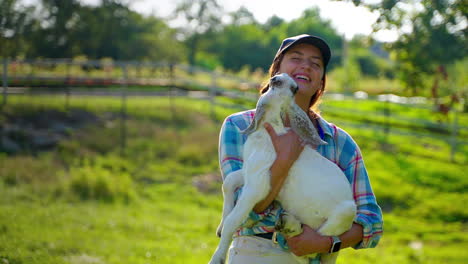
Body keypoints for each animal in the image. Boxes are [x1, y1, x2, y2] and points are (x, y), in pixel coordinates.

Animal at [210, 72, 356, 264]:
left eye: (294, 89)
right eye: (276, 84)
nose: (279, 78)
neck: (267, 132)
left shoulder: (257, 186)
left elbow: (232, 221)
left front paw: (217, 258)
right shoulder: (251, 172)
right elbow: (228, 182)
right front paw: (219, 228)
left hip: (345, 215)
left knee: (308, 250)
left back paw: (289, 227)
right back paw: (287, 223)